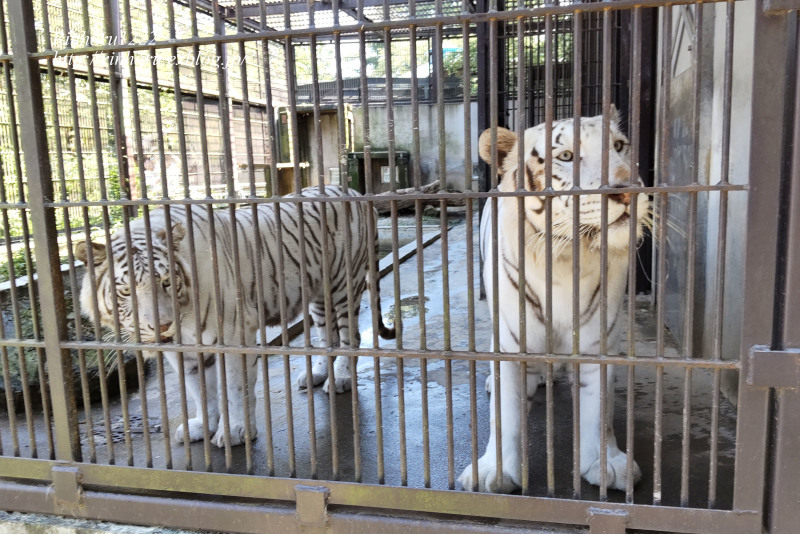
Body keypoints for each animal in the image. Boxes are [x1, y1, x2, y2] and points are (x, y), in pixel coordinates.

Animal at [76, 186, 396, 450]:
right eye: (126, 291)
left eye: (167, 282)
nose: (163, 325)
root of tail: (354, 191)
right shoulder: (184, 351)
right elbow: (200, 390)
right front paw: (202, 427)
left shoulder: (233, 335)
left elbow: (234, 389)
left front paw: (235, 432)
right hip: (318, 297)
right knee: (327, 337)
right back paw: (316, 374)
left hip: (343, 284)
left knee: (350, 336)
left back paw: (340, 378)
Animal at [456, 112, 648, 494]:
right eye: (566, 157)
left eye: (619, 146)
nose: (627, 190)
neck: (565, 259)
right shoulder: (513, 342)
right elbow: (505, 416)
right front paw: (495, 472)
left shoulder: (597, 343)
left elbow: (599, 411)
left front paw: (607, 464)